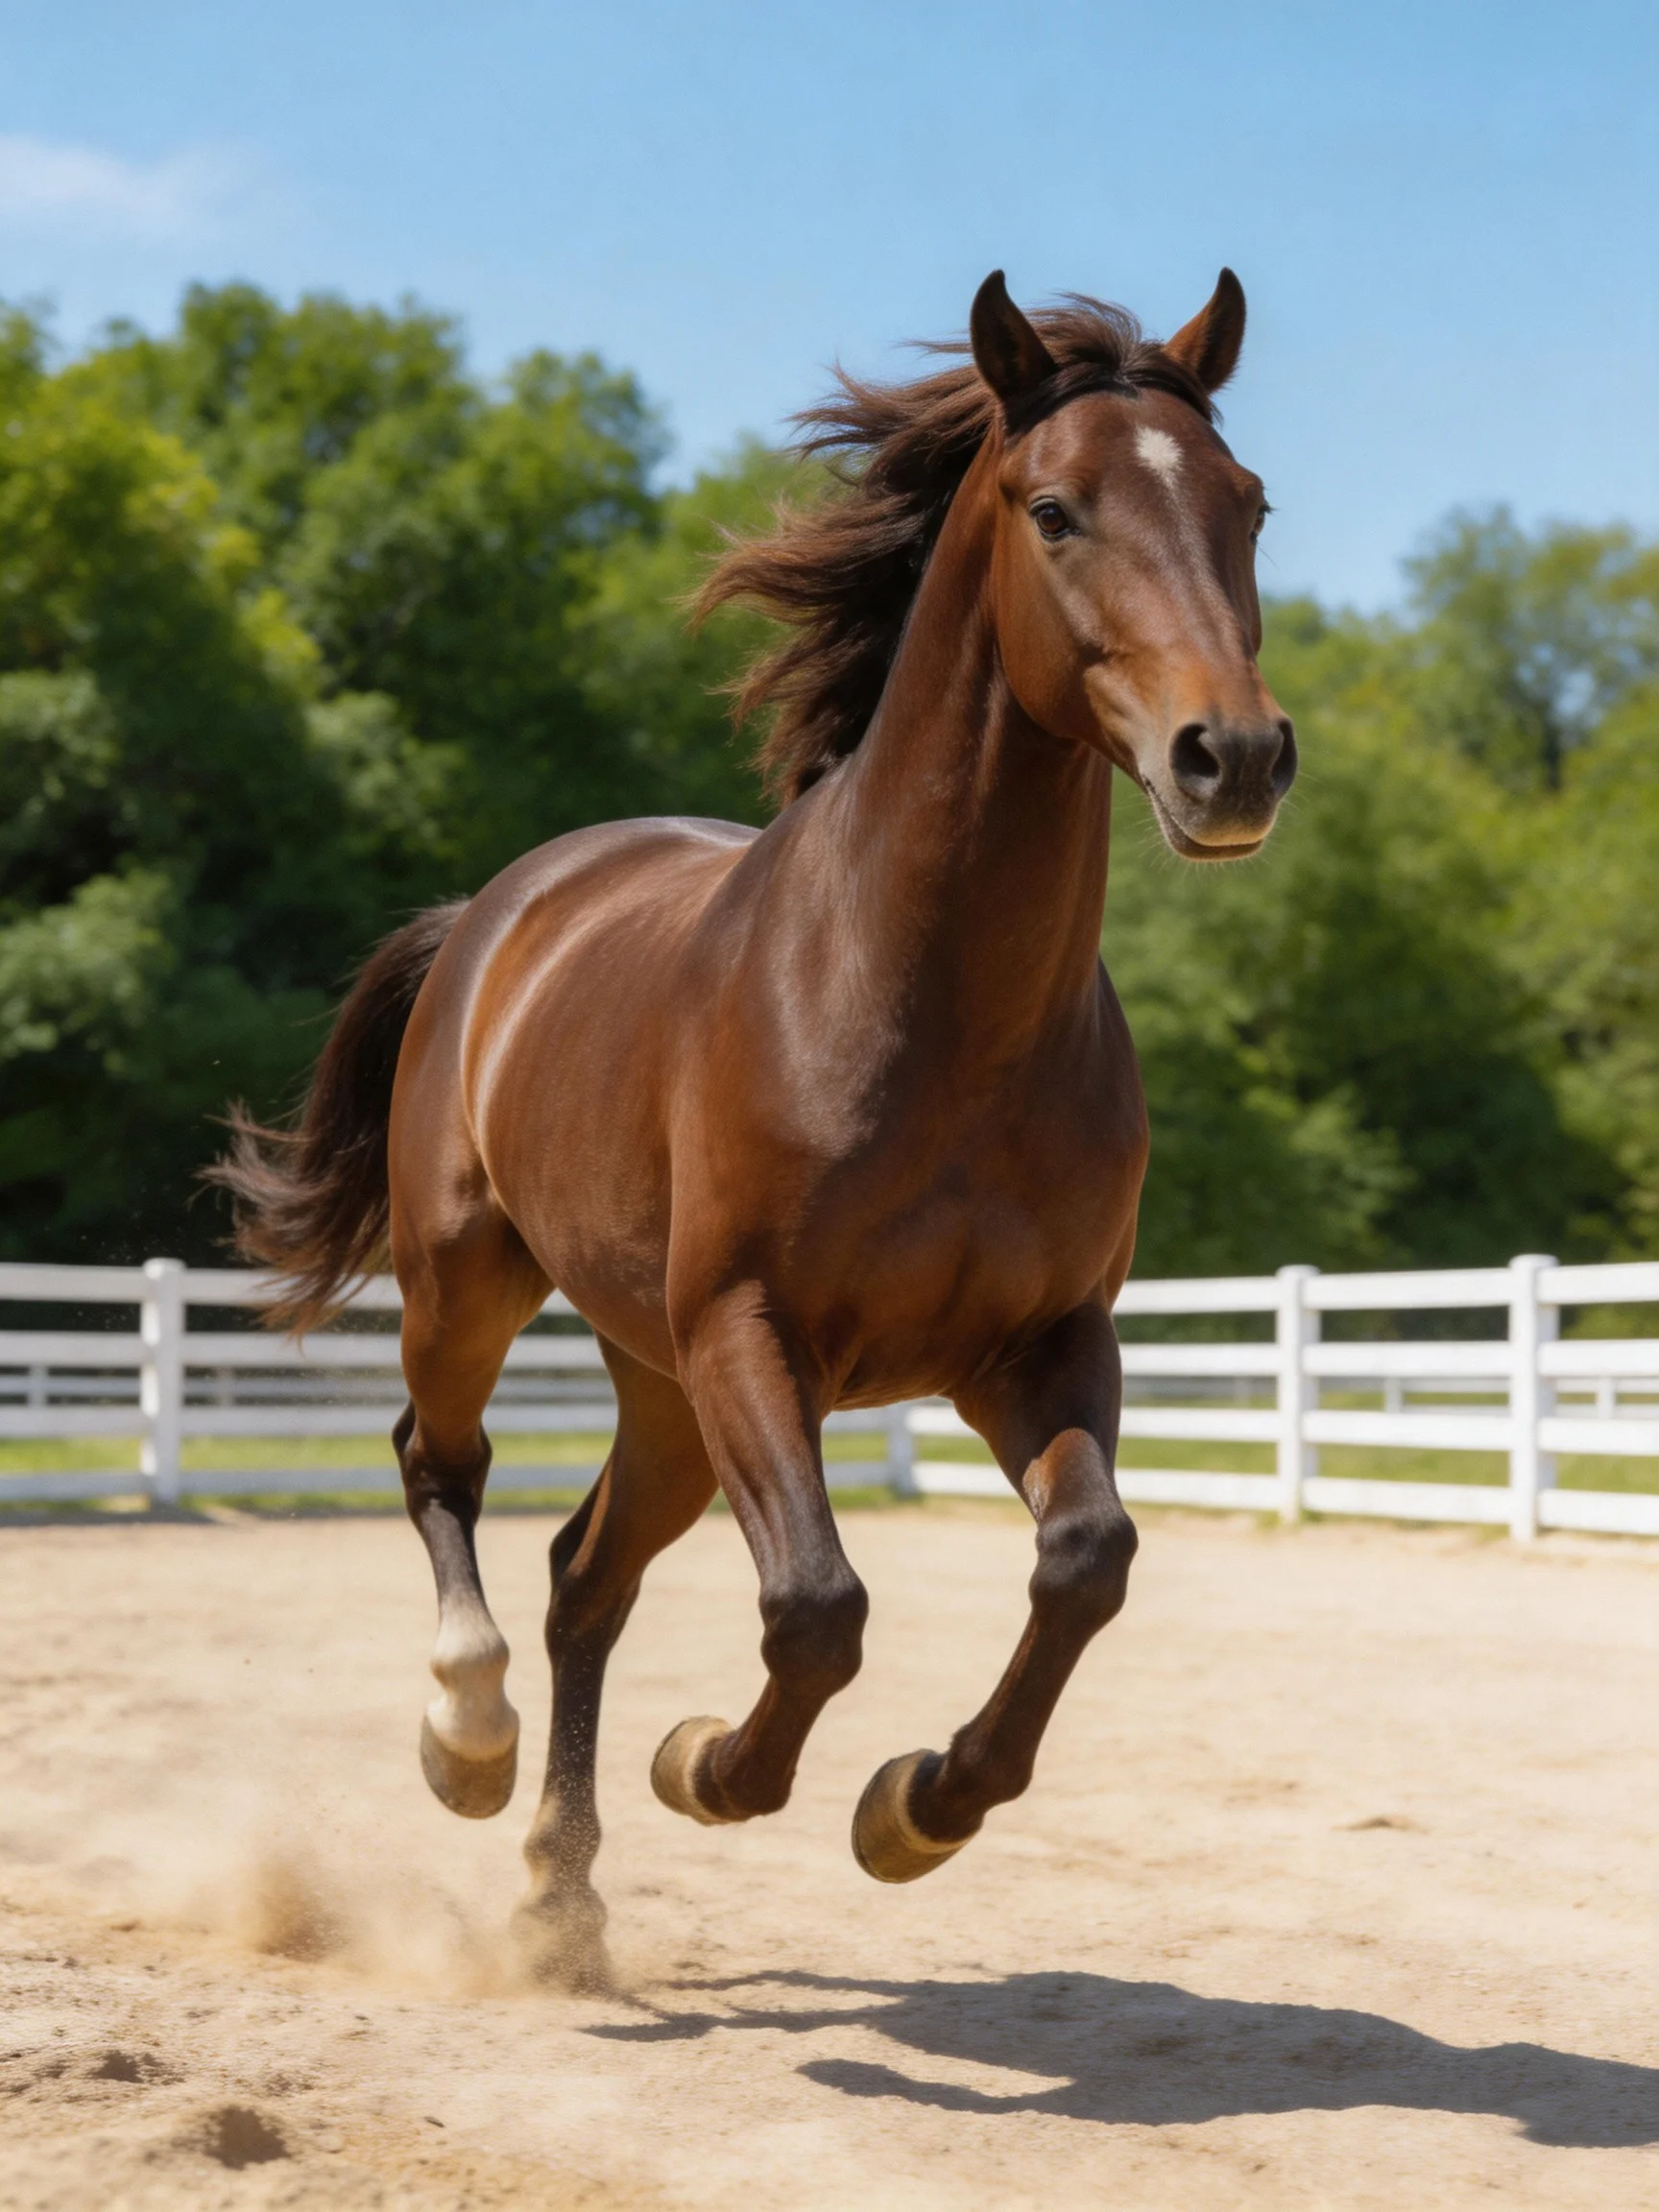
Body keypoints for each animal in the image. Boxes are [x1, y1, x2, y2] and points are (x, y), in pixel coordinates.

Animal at [214, 269, 1294, 1990]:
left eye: (1246, 503)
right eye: (1054, 509)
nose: (1233, 758)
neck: (932, 1013)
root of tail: (494, 914)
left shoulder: (1040, 1344)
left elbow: (1085, 1560)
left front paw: (916, 1806)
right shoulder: (750, 1328)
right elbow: (817, 1604)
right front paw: (711, 1766)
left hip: (657, 1385)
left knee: (585, 1577)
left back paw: (560, 1896)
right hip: (481, 1288)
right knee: (440, 1465)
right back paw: (467, 1739)